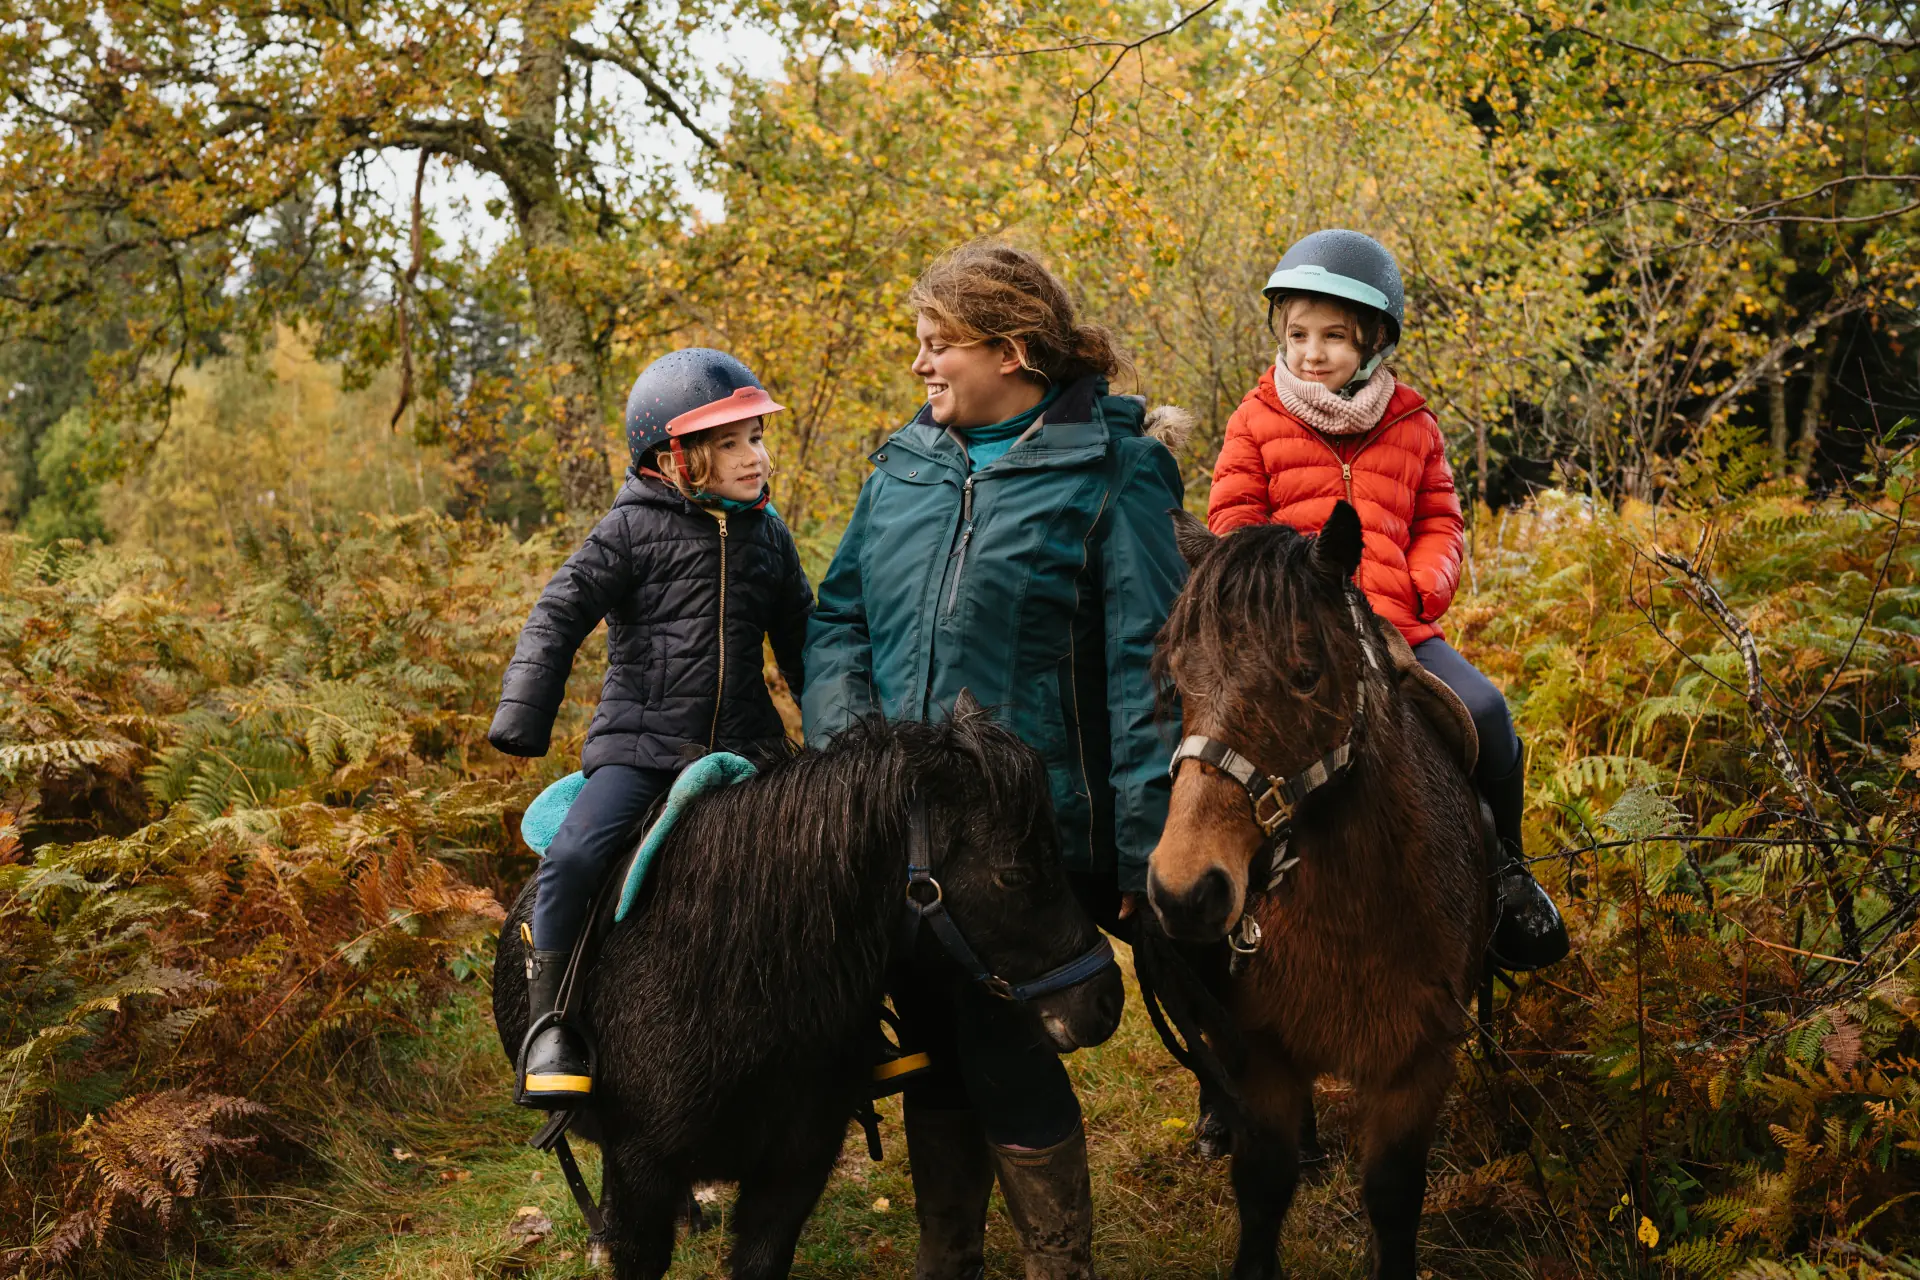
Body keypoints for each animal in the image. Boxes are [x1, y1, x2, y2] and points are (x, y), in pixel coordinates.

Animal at [1144, 501, 1491, 1280]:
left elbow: (1393, 1196)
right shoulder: (1264, 1057)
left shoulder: (1416, 1067)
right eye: (1175, 680)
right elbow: (1263, 1188)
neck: (1352, 917)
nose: (1185, 891)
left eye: (1306, 673)